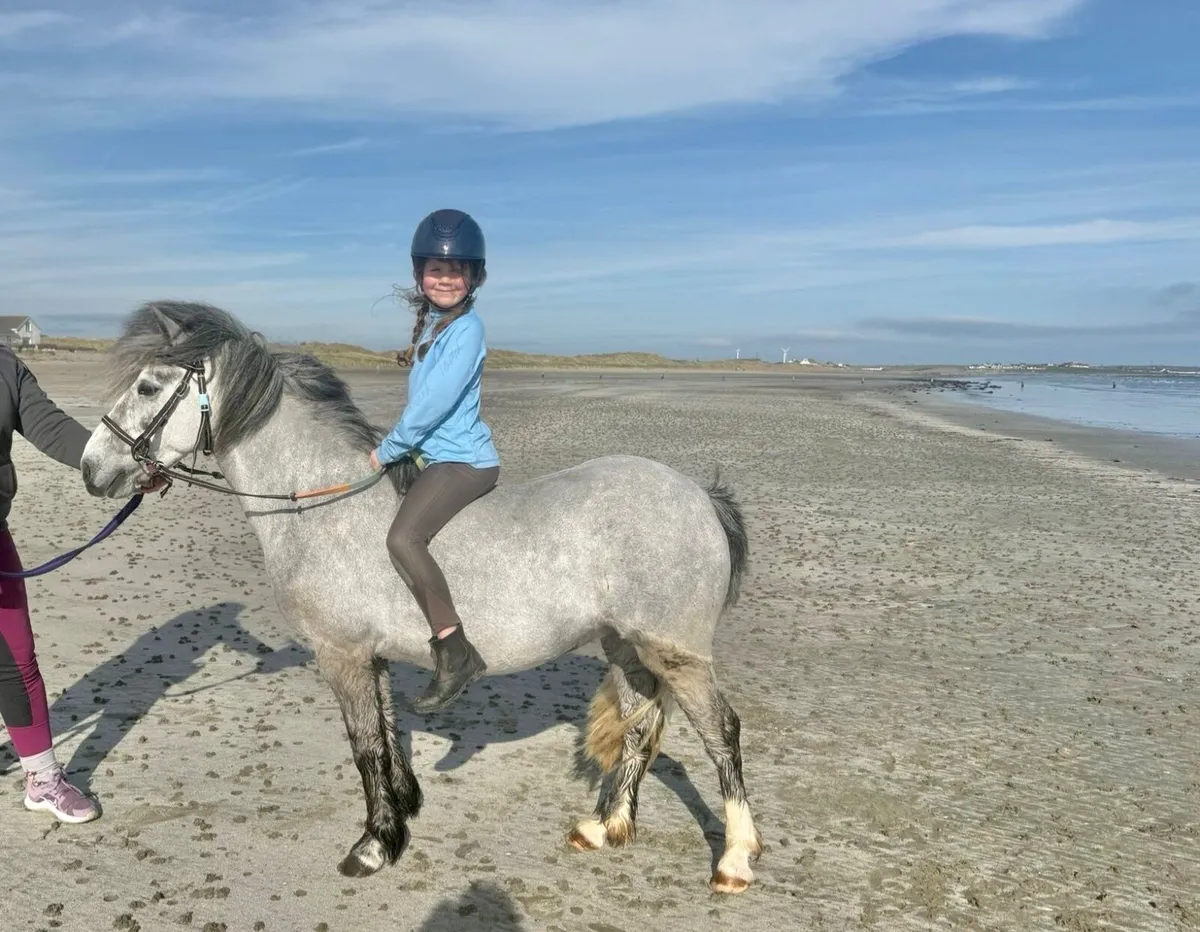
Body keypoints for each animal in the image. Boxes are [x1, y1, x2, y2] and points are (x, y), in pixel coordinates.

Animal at [79, 301, 763, 893]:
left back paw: (734, 859)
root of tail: (700, 495)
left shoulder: (341, 655)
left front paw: (373, 845)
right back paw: (606, 826)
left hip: (675, 652)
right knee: (640, 724)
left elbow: (363, 747)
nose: (92, 467)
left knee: (721, 731)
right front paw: (402, 812)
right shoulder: (369, 655)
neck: (319, 502)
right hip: (626, 646)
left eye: (147, 387)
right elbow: (385, 733)